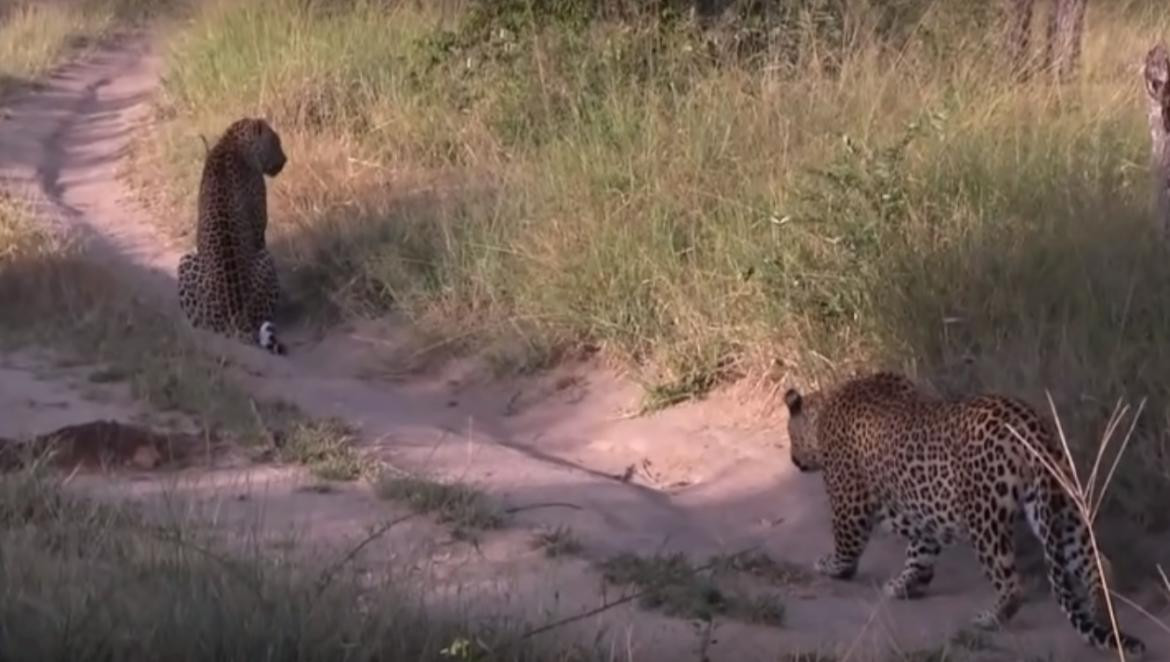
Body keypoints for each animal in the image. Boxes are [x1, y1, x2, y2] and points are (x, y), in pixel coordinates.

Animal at [177, 116, 287, 355]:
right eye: (276, 141)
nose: (285, 160)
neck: (232, 141)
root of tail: (237, 315)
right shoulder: (259, 231)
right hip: (263, 257)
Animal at [786, 374, 1141, 659]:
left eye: (790, 436)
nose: (793, 461)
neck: (824, 411)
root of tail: (1030, 425)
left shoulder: (850, 501)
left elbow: (847, 544)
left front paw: (831, 566)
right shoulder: (924, 514)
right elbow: (919, 553)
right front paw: (905, 584)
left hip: (985, 520)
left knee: (1013, 583)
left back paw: (990, 619)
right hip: (1062, 508)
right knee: (1098, 564)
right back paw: (1102, 616)